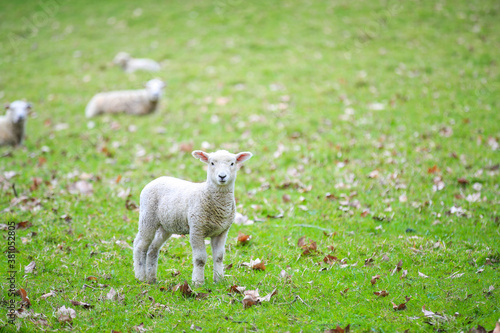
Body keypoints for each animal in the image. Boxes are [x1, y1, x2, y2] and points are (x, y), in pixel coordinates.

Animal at [134, 149, 254, 284]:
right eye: (212, 163)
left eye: (232, 163)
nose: (222, 176)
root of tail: (155, 180)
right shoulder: (197, 228)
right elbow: (200, 259)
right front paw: (198, 282)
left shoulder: (222, 231)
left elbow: (219, 257)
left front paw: (219, 280)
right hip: (148, 217)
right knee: (140, 245)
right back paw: (140, 276)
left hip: (165, 226)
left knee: (153, 248)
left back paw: (152, 278)